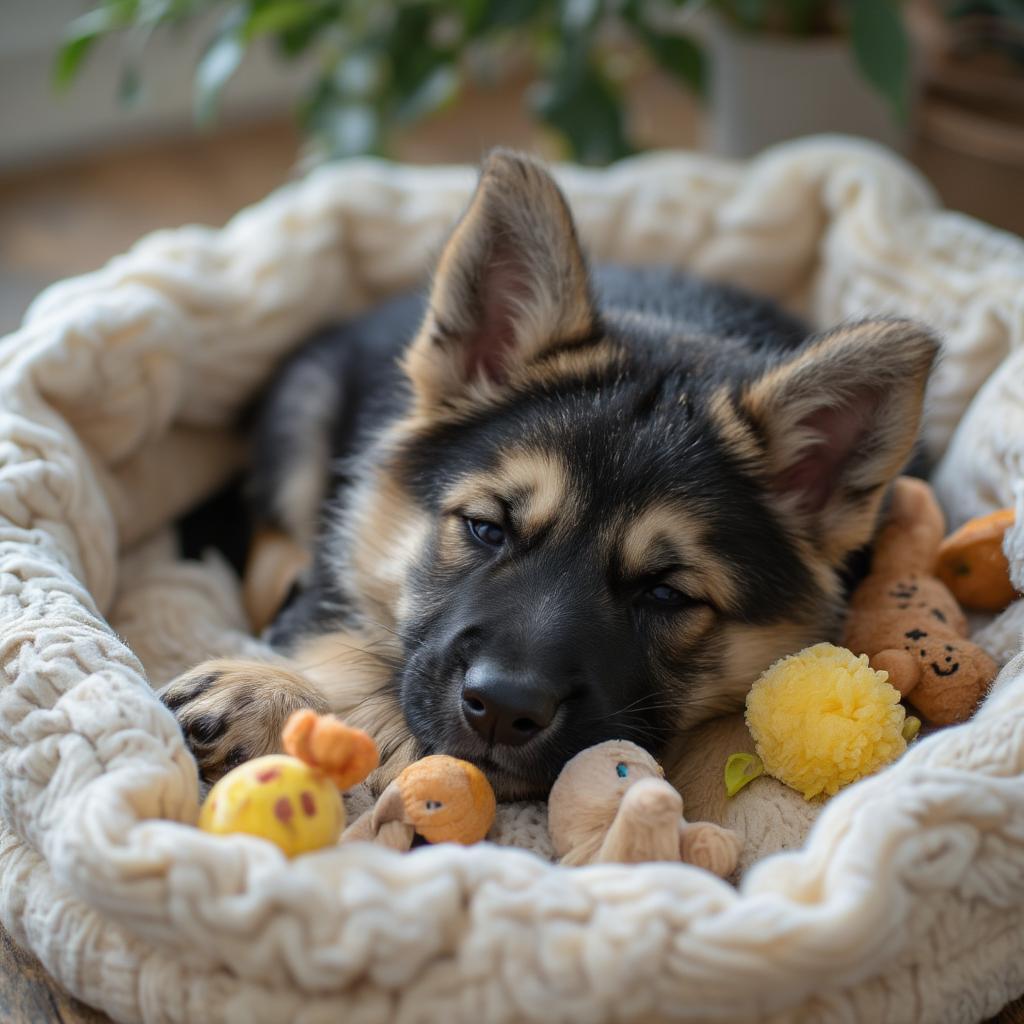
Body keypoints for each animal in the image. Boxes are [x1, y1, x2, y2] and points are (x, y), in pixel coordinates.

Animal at [163, 149, 937, 798]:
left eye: (666, 593)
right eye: (485, 529)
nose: (503, 710)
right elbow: (343, 641)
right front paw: (272, 694)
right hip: (303, 417)